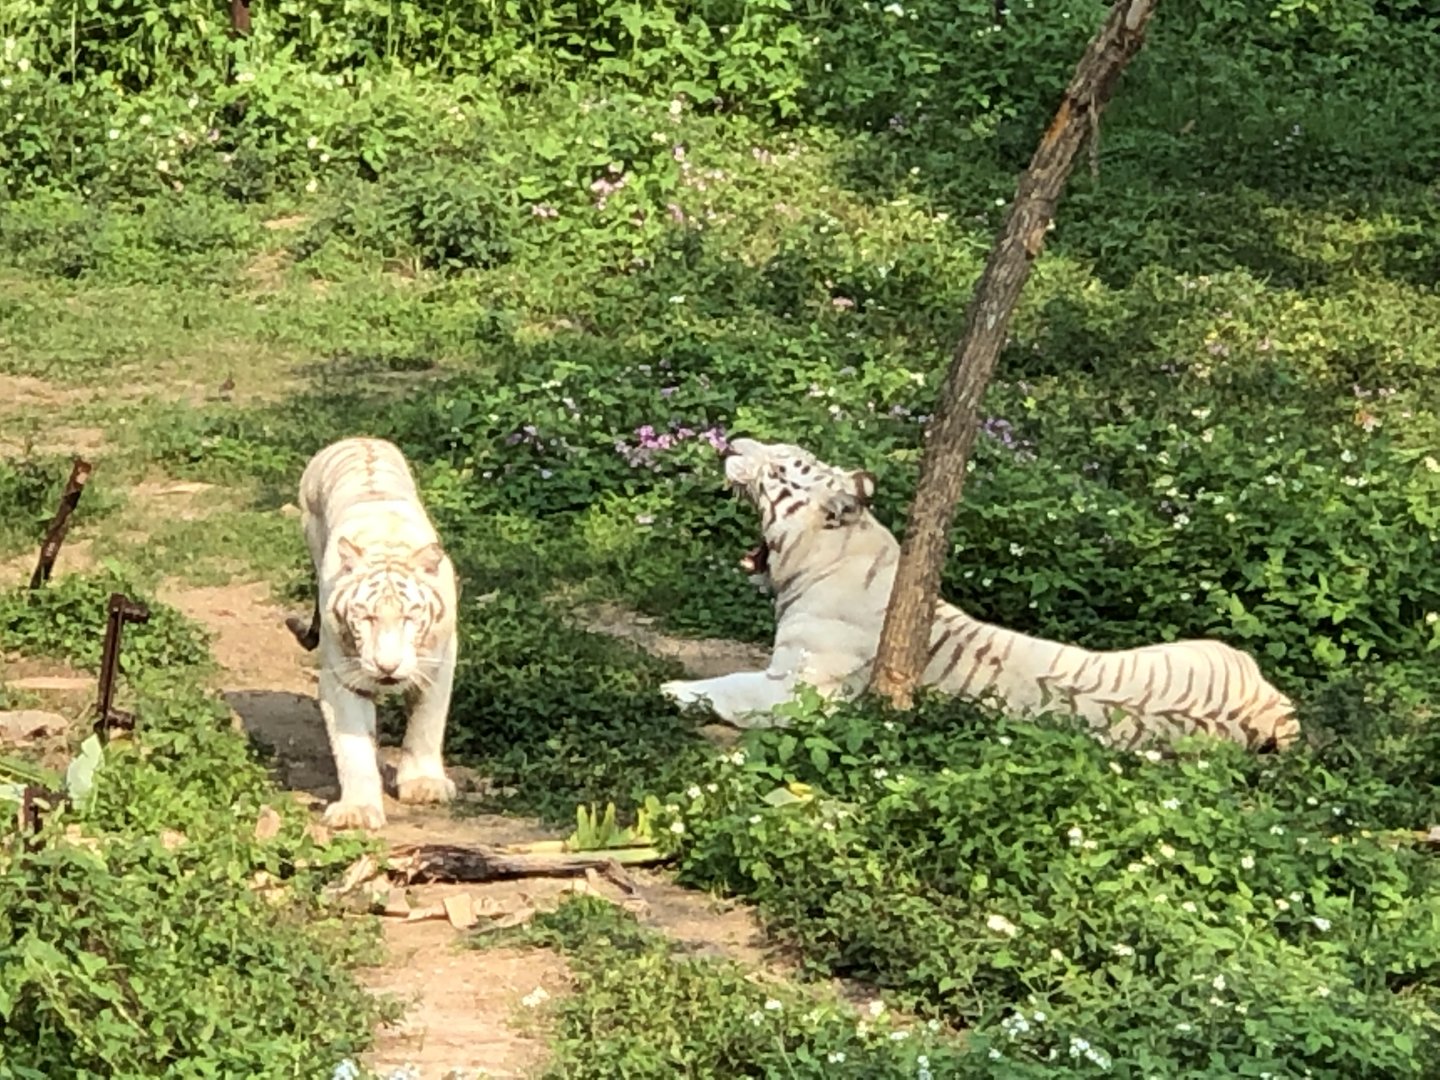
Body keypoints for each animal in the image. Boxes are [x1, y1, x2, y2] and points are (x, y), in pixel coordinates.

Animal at [286, 436, 460, 830]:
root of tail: (358, 438)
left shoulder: (438, 662)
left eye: (410, 616)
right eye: (364, 617)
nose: (387, 667)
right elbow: (353, 746)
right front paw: (357, 810)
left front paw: (423, 784)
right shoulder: (342, 677)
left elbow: (427, 722)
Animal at [659, 437, 1301, 753]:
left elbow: (732, 686)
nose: (731, 440)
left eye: (782, 469)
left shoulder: (803, 688)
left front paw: (672, 690)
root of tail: (1271, 705)